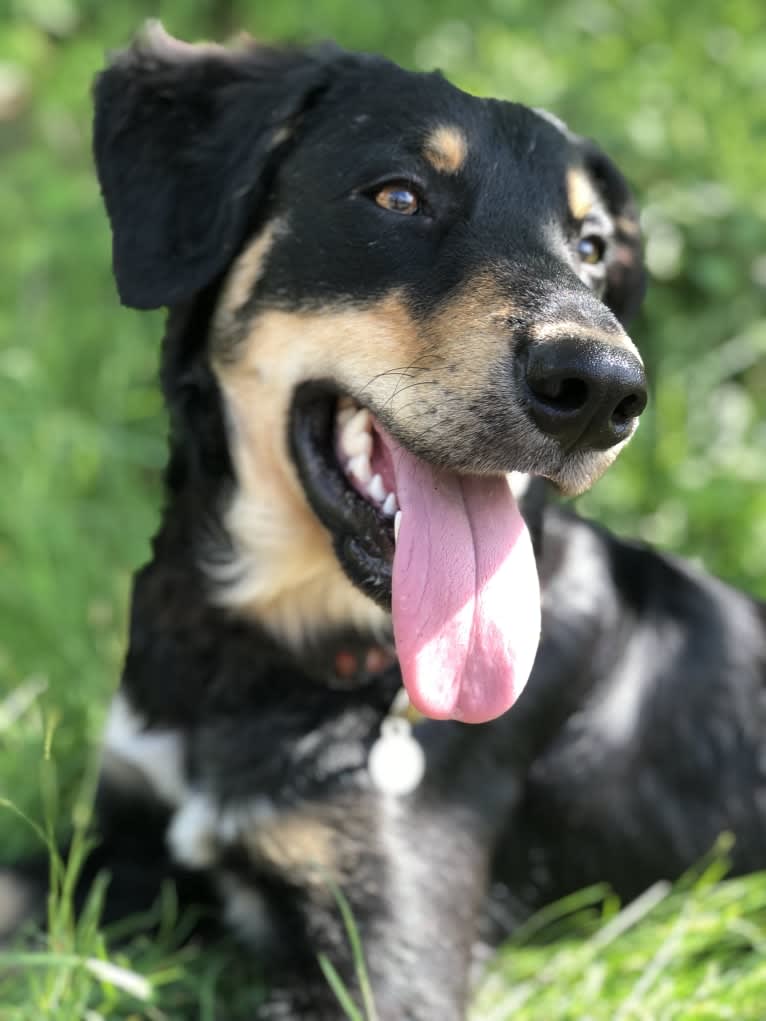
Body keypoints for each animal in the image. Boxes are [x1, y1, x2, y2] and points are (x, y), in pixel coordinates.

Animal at [6, 21, 766, 1021]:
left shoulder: (386, 955)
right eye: (398, 196)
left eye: (594, 245)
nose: (604, 389)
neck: (268, 656)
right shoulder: (118, 842)